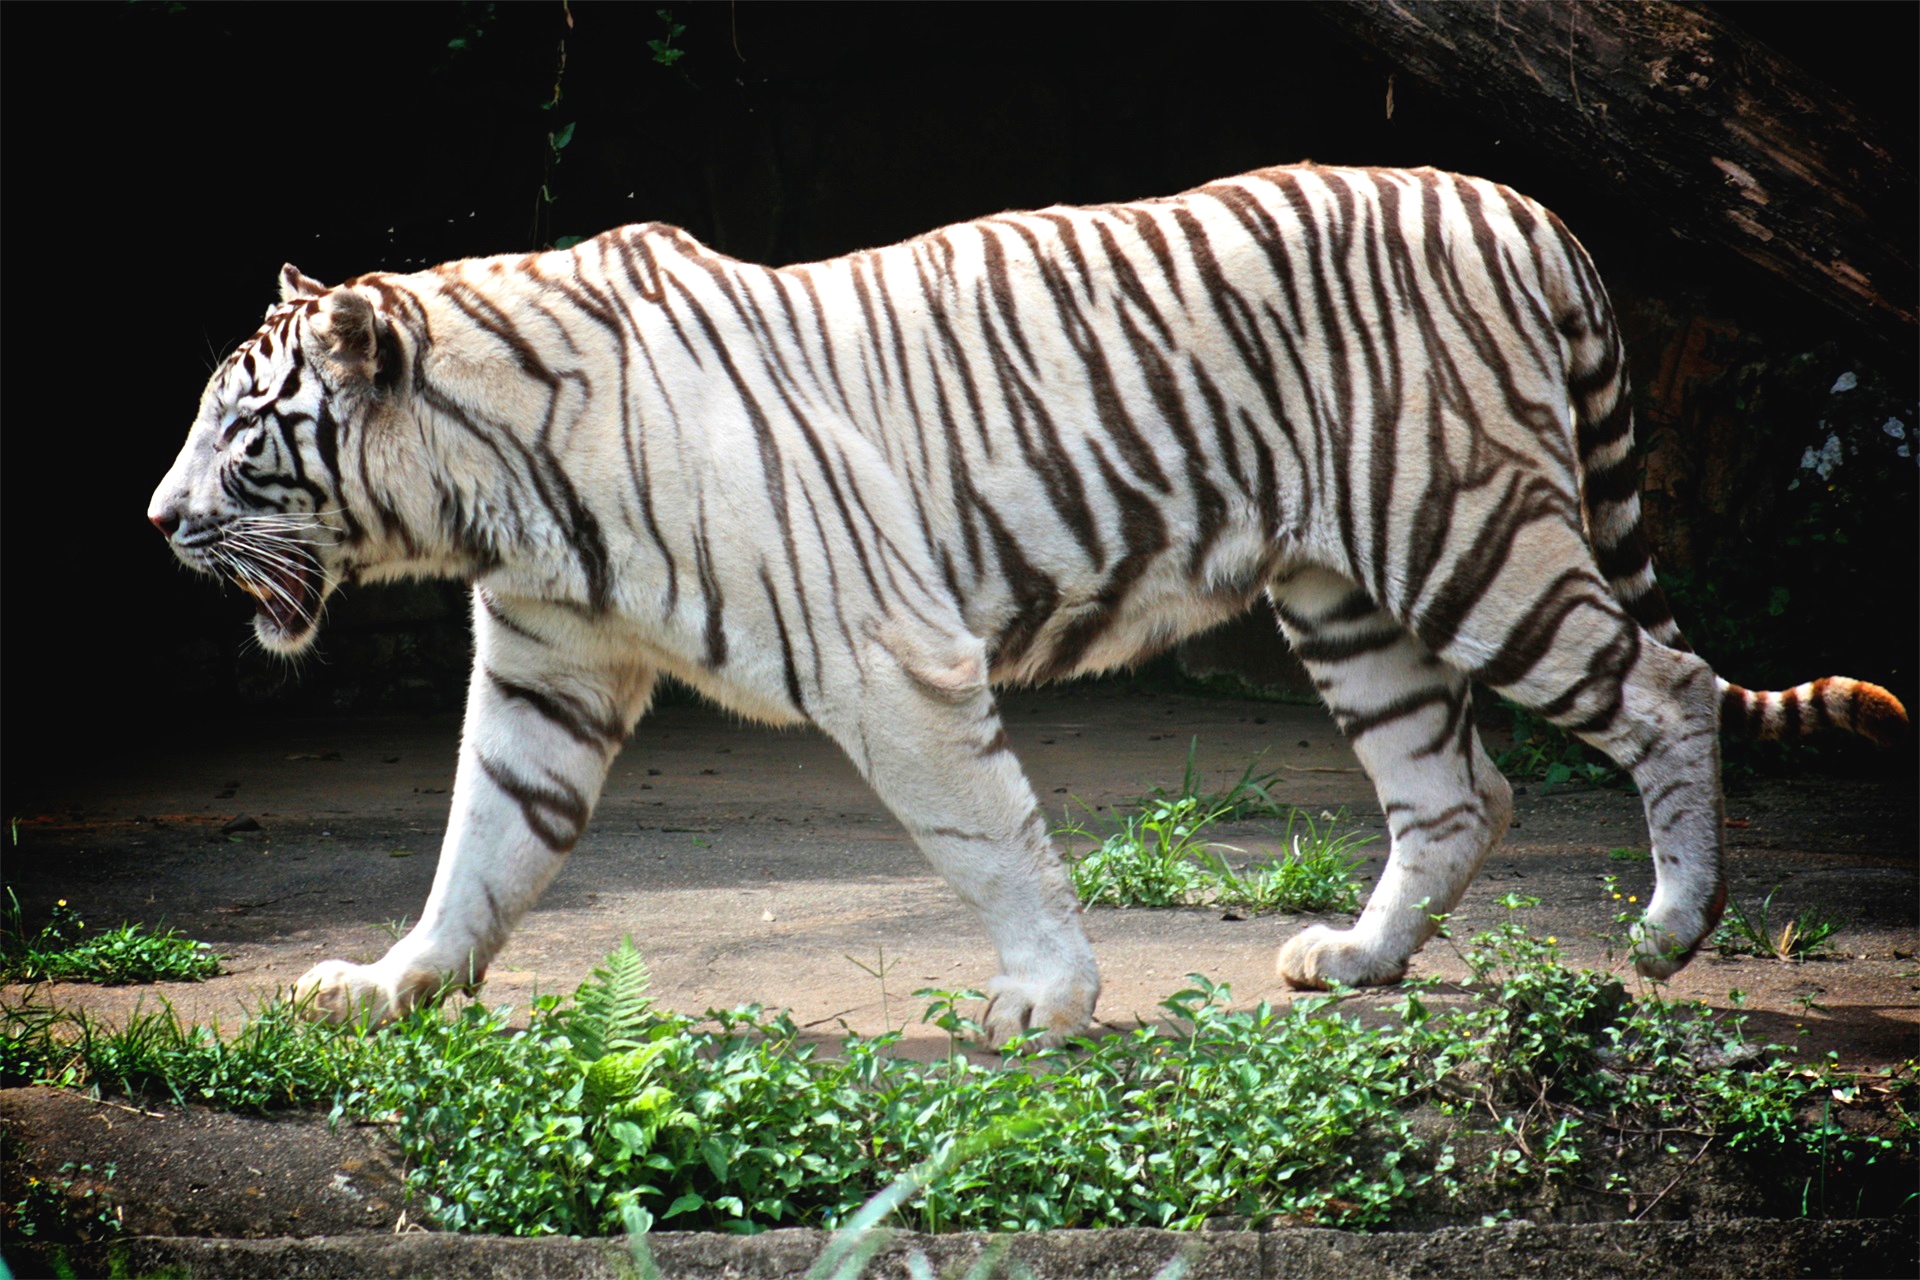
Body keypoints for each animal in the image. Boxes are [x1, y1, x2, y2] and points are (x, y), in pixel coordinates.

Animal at [149, 165, 1904, 1043]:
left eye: (244, 438)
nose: (157, 521)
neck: (491, 485)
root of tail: (1524, 206)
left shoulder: (890, 656)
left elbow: (984, 833)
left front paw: (1044, 1000)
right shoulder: (545, 669)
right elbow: (482, 843)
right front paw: (393, 987)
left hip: (1469, 539)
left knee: (1667, 686)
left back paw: (1672, 930)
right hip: (1348, 598)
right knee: (1459, 787)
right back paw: (1356, 961)